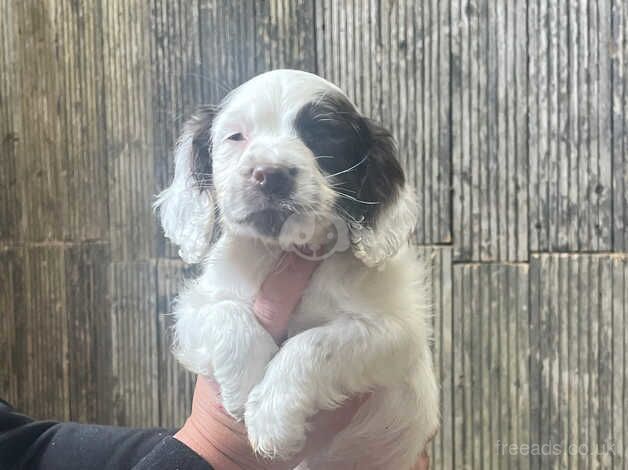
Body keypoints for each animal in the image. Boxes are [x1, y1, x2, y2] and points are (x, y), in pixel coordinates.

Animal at [155, 70, 440, 470]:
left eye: (322, 137)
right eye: (236, 136)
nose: (271, 174)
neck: (281, 251)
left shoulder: (394, 330)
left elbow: (315, 344)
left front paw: (271, 415)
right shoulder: (194, 306)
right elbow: (225, 313)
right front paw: (245, 383)